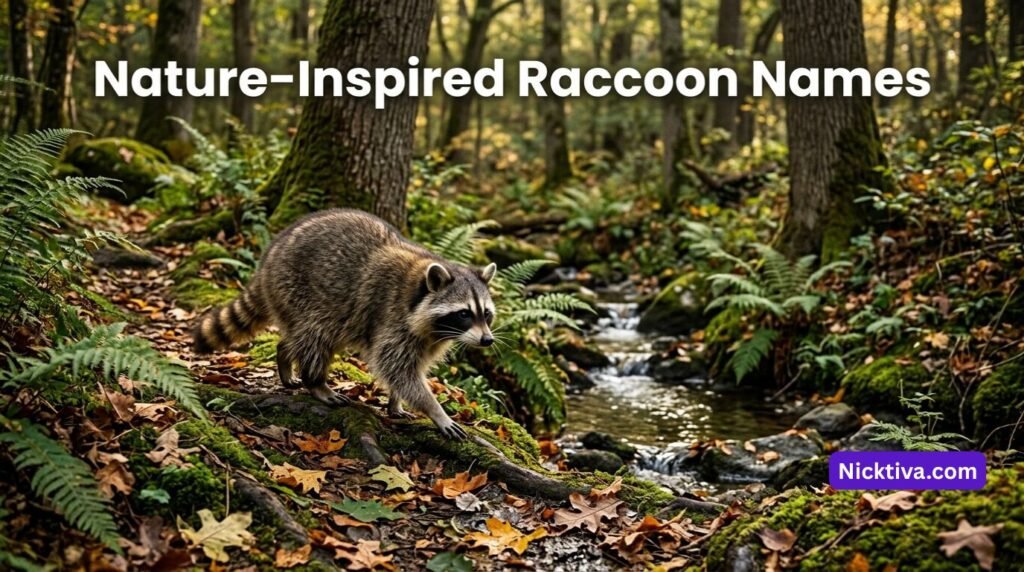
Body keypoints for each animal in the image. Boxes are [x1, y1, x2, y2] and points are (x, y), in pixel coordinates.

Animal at [192, 209, 497, 440]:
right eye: (464, 313)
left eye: (486, 314)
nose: (488, 340)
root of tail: (269, 257)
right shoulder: (393, 316)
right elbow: (396, 367)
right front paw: (435, 410)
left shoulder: (429, 337)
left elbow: (408, 370)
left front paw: (396, 400)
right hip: (298, 288)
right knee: (315, 336)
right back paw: (316, 382)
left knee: (300, 335)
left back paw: (284, 356)